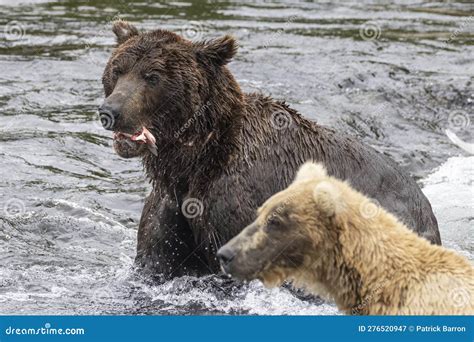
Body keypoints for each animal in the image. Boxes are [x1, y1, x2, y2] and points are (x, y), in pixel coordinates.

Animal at [99, 20, 440, 280]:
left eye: (153, 76)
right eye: (118, 69)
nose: (110, 111)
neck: (194, 161)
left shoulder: (237, 202)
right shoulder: (170, 208)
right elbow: (158, 255)